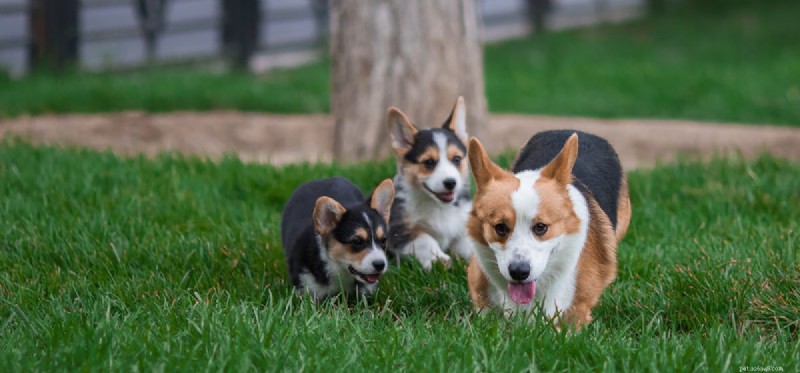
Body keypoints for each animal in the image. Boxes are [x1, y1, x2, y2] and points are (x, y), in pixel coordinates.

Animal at [388, 96, 476, 270]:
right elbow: (425, 239)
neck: (439, 206)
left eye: (456, 159)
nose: (451, 183)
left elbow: (469, 246)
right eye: (428, 162)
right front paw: (439, 260)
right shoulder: (399, 232)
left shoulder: (462, 228)